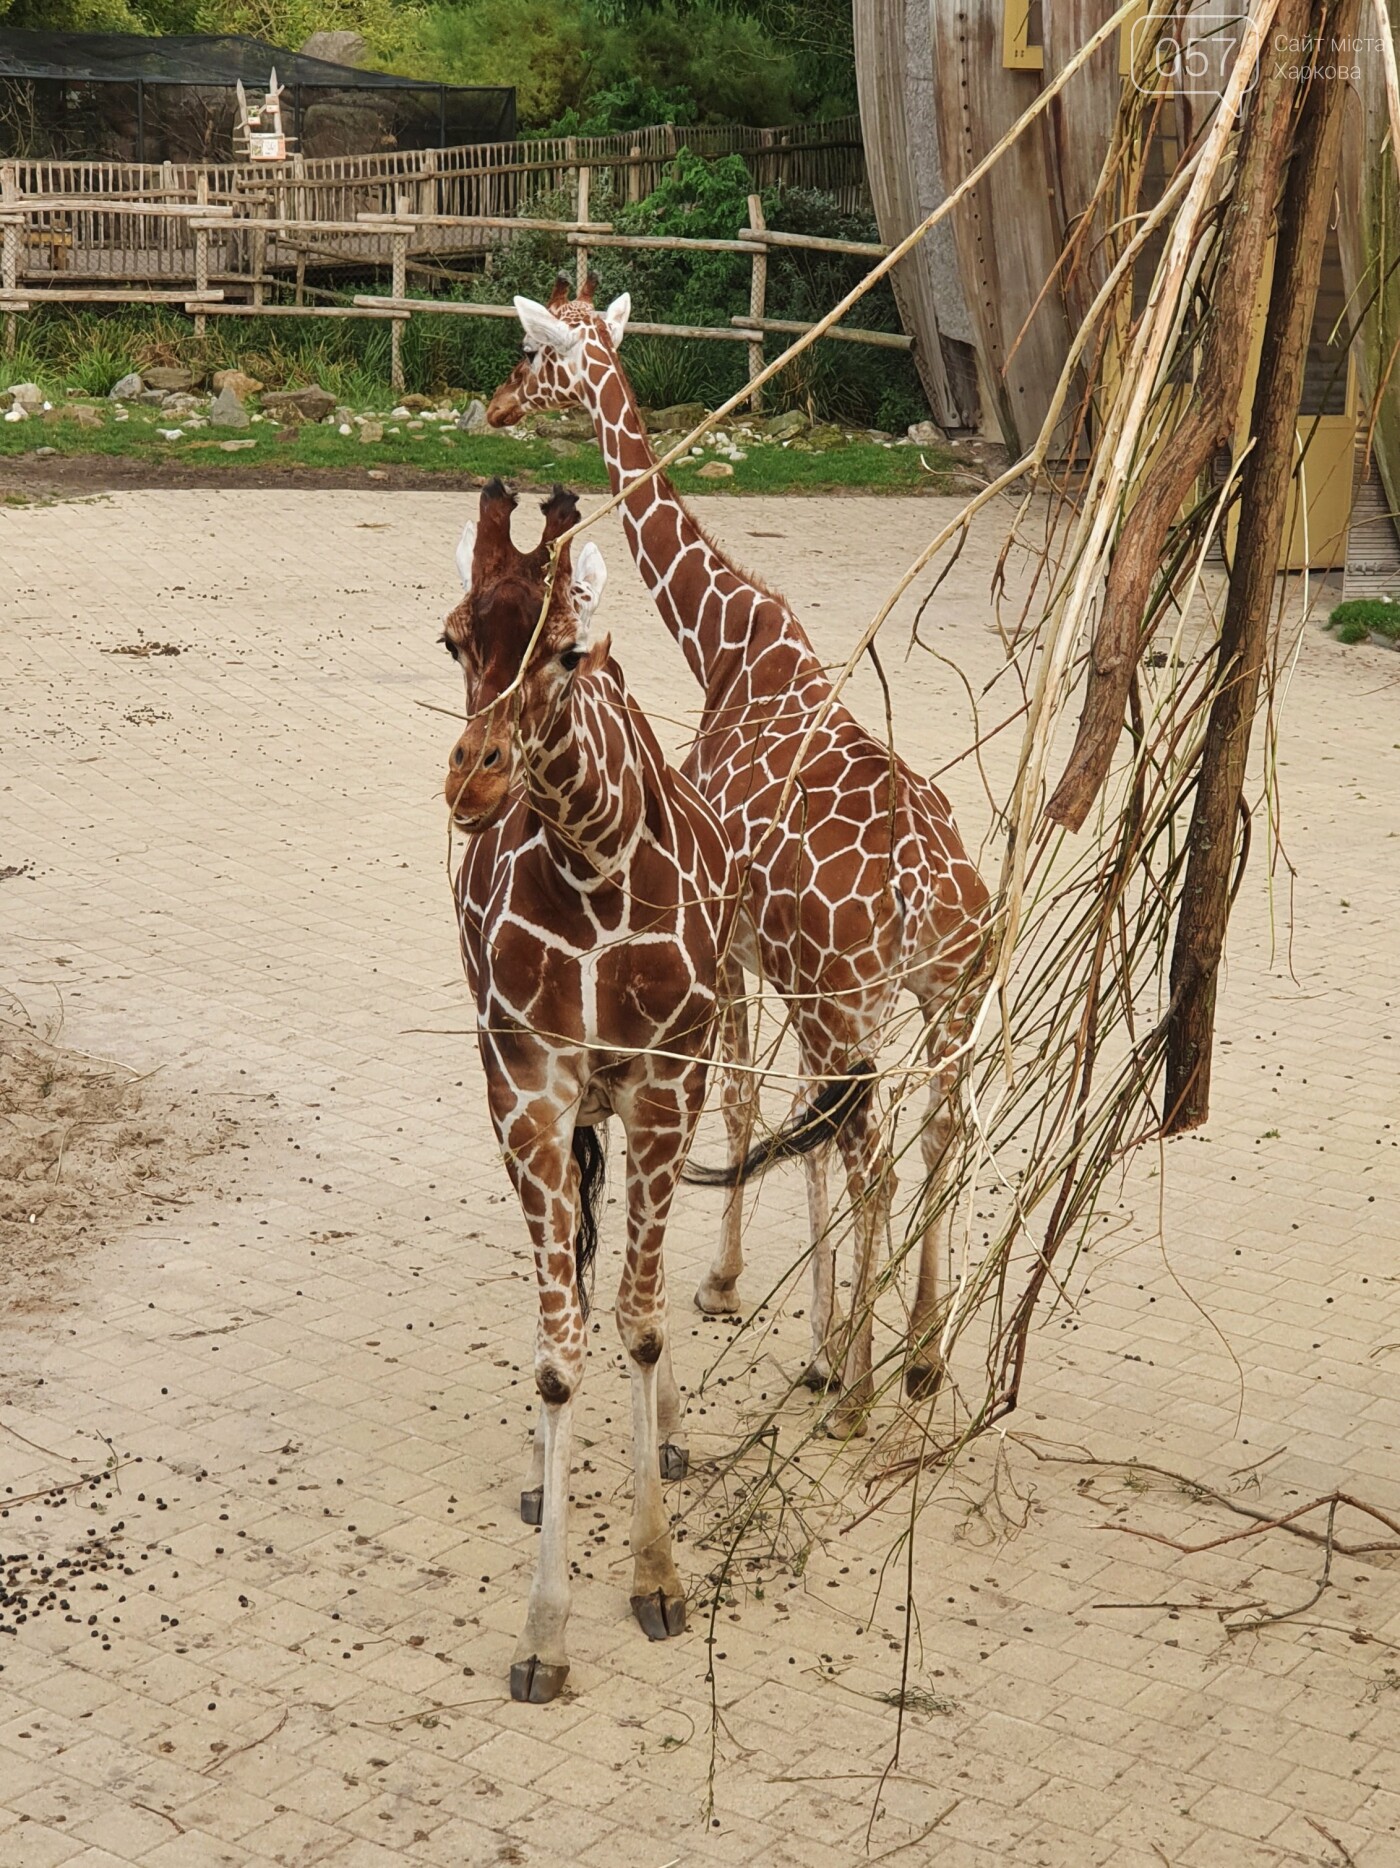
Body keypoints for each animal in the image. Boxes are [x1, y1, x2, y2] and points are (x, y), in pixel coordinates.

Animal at [485, 276, 986, 1434]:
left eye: (531, 349)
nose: (494, 404)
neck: (725, 645)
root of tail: (922, 893)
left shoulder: (731, 949)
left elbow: (751, 1105)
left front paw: (731, 1292)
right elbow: (788, 1122)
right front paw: (820, 1339)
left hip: (847, 999)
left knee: (873, 1158)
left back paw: (858, 1393)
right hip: (946, 992)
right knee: (942, 1133)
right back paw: (922, 1358)